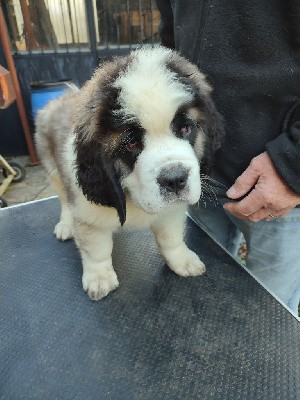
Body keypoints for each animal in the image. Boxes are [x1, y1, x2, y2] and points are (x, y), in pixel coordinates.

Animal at [35, 45, 224, 300]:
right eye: (131, 143)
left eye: (186, 129)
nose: (175, 179)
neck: (131, 195)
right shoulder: (87, 214)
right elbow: (97, 250)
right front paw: (99, 277)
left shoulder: (172, 212)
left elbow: (171, 237)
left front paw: (181, 259)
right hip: (53, 170)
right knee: (64, 200)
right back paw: (66, 225)